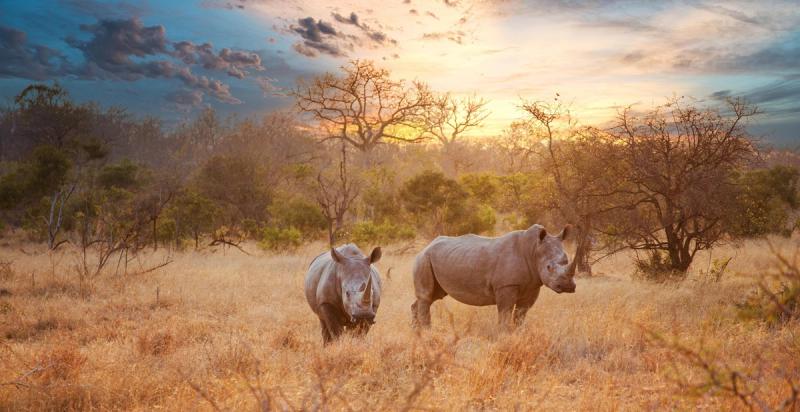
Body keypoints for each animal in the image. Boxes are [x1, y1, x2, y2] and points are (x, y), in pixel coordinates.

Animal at [411, 224, 576, 328]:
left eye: (566, 261)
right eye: (548, 267)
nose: (568, 286)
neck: (534, 250)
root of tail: (425, 247)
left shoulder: (532, 285)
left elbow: (520, 317)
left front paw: (518, 335)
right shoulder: (506, 286)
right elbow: (504, 315)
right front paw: (504, 337)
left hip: (438, 259)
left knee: (433, 295)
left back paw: (417, 333)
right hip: (424, 258)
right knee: (426, 296)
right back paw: (428, 332)